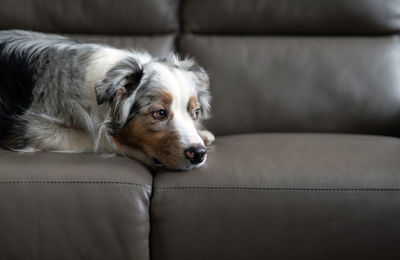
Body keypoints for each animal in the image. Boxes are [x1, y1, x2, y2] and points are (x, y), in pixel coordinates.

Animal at [0, 30, 216, 171]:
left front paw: (203, 133)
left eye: (195, 112)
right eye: (160, 113)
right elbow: (100, 139)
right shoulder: (32, 129)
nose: (199, 154)